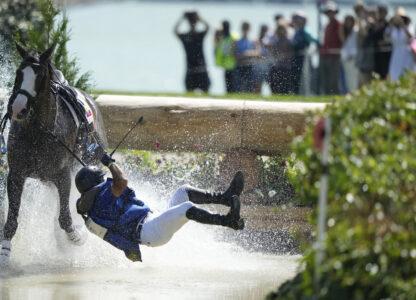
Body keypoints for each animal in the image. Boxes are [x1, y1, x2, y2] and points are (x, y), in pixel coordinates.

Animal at [0, 43, 107, 258]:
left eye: (40, 75)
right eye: (19, 73)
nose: (18, 108)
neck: (38, 132)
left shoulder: (63, 175)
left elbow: (65, 218)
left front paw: (78, 237)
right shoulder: (16, 175)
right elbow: (12, 220)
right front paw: (5, 253)